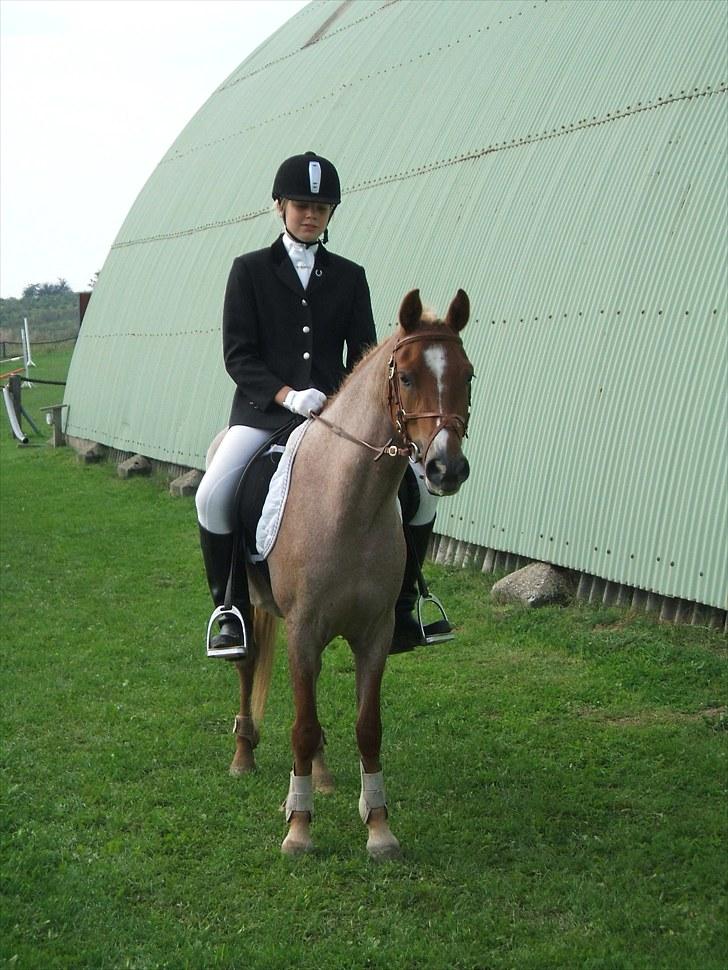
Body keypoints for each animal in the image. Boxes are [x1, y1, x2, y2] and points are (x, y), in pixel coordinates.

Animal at [220, 287, 474, 859]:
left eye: (468, 374)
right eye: (407, 377)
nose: (446, 469)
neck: (348, 502)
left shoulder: (374, 633)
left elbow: (367, 727)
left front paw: (378, 826)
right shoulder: (302, 629)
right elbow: (301, 724)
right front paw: (298, 829)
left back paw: (322, 774)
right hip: (250, 605)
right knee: (248, 665)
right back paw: (244, 754)